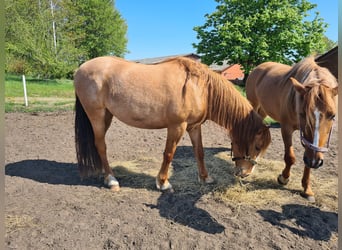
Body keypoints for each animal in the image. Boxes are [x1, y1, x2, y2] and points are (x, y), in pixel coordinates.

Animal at [74, 57, 270, 191]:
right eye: (257, 146)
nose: (245, 174)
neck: (199, 87)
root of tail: (80, 69)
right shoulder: (177, 126)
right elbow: (169, 154)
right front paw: (163, 183)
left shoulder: (194, 127)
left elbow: (199, 152)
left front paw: (205, 178)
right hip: (97, 115)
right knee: (101, 145)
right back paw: (112, 180)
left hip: (106, 116)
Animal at [246, 56, 336, 201]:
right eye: (303, 113)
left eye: (332, 115)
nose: (315, 162)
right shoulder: (286, 128)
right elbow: (290, 157)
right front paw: (283, 178)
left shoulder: (310, 146)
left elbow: (307, 162)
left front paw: (307, 189)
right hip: (253, 104)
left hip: (263, 109)